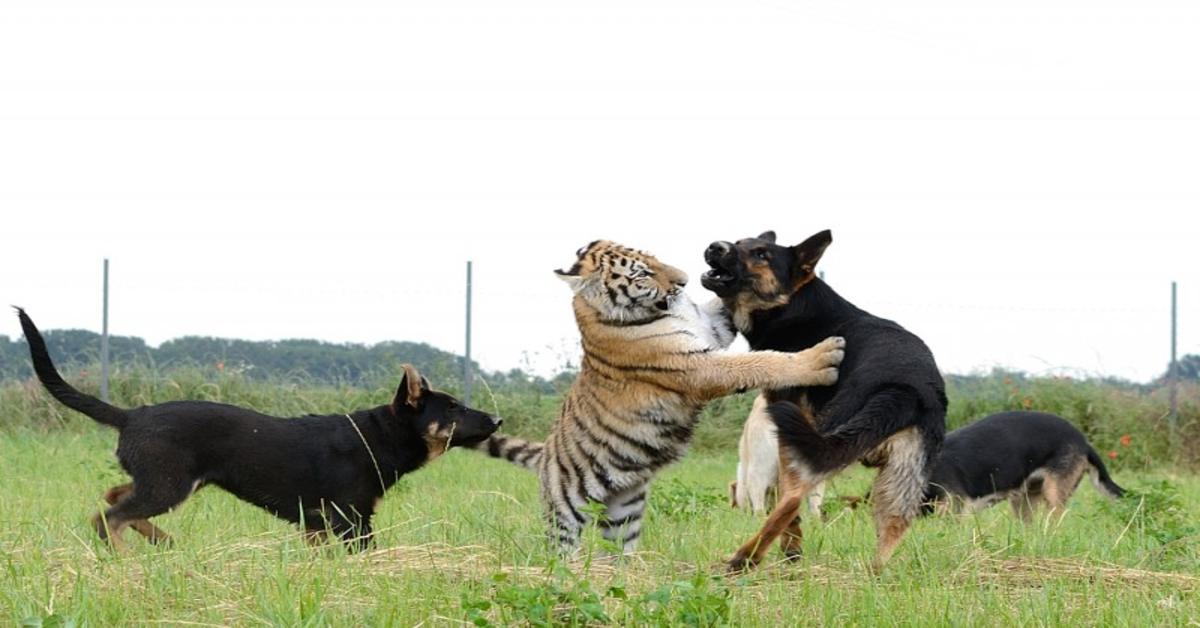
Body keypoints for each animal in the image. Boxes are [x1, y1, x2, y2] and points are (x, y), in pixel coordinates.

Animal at [16, 307, 499, 552]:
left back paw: (162, 541)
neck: (378, 435)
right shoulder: (352, 520)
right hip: (168, 485)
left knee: (114, 497)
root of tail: (132, 414)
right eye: (453, 408)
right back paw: (125, 558)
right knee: (108, 516)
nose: (498, 421)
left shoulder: (317, 525)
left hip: (164, 483)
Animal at [700, 230, 945, 573]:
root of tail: (908, 388)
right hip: (898, 481)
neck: (791, 305)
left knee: (791, 497)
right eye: (739, 242)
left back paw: (745, 558)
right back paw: (872, 574)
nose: (714, 247)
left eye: (762, 255)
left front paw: (791, 549)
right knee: (893, 528)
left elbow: (787, 501)